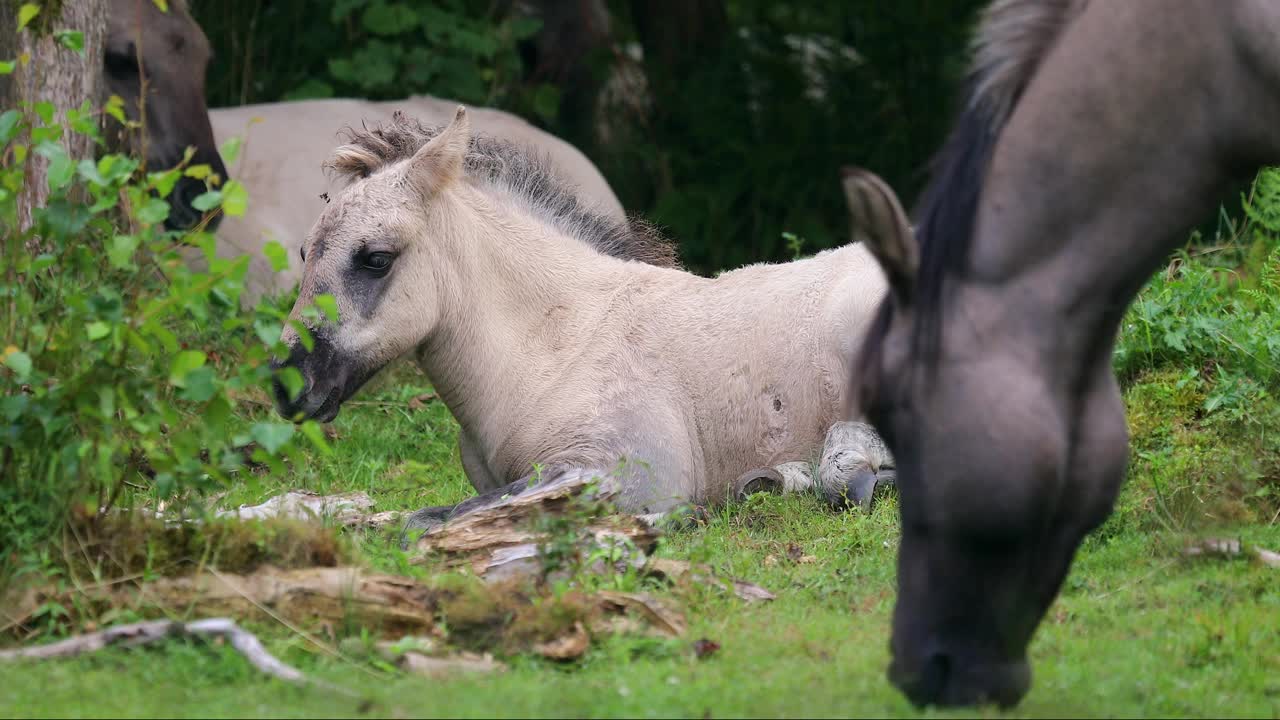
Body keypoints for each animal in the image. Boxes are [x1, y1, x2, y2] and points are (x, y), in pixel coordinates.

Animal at [264, 109, 896, 530]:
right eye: (305, 254)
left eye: (375, 258)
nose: (288, 383)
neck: (558, 345)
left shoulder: (623, 472)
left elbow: (425, 519)